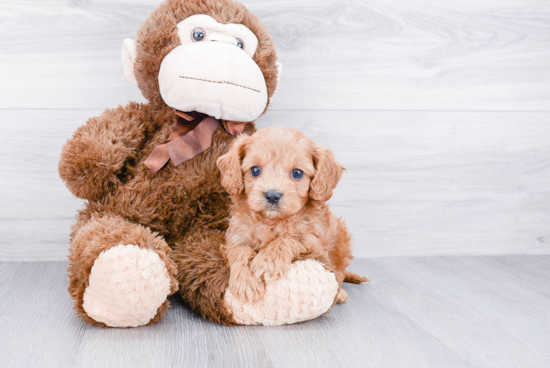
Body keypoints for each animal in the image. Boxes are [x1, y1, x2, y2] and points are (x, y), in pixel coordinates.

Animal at [218, 126, 368, 304]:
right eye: (255, 170)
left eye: (297, 173)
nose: (272, 195)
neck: (272, 221)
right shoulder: (236, 237)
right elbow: (239, 251)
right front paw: (245, 281)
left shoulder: (314, 241)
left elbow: (290, 238)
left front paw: (267, 261)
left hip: (342, 242)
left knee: (339, 274)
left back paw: (339, 293)